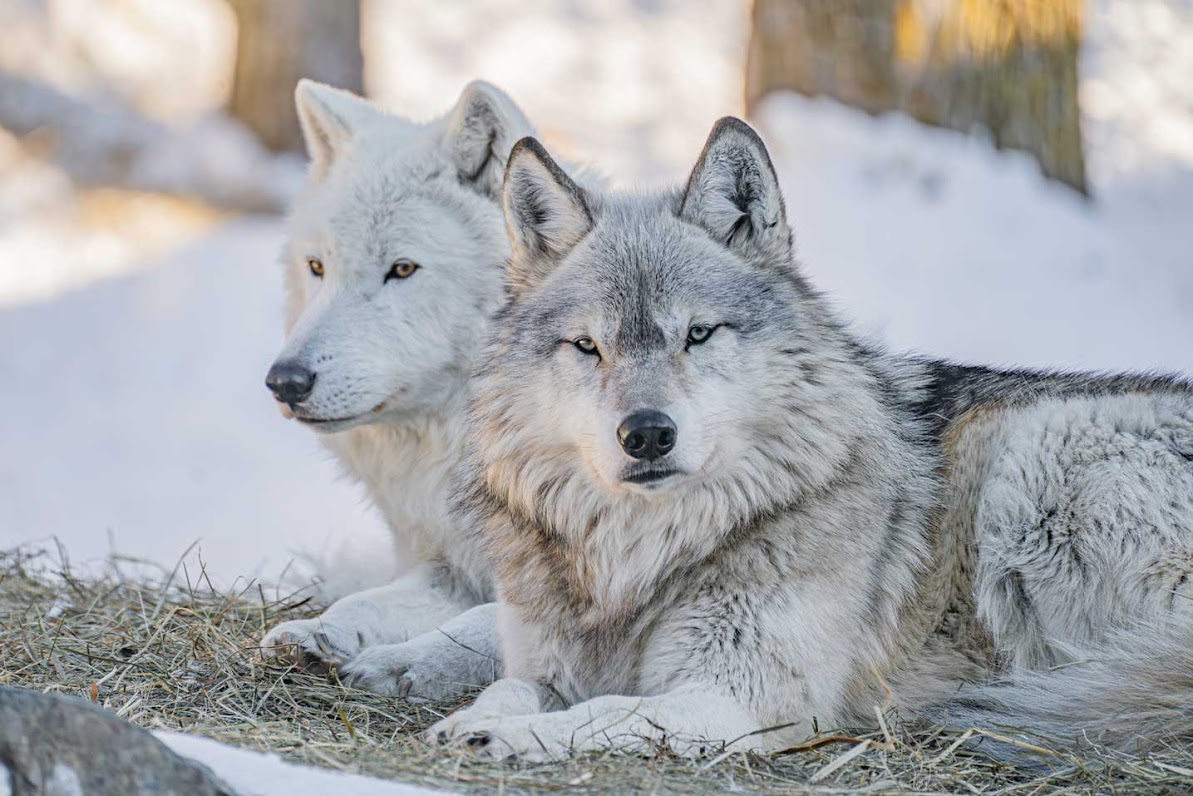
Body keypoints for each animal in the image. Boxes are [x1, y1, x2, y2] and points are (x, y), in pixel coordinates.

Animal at [257, 79, 534, 698]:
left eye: (402, 269)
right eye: (317, 267)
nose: (285, 382)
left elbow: (486, 623)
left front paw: (403, 664)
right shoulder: (452, 569)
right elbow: (365, 603)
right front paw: (318, 634)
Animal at [428, 119, 1193, 761]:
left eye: (697, 333)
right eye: (588, 346)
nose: (645, 433)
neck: (643, 556)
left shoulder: (737, 699)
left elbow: (607, 710)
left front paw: (504, 736)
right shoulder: (545, 662)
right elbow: (509, 686)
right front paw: (474, 718)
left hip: (1038, 459)